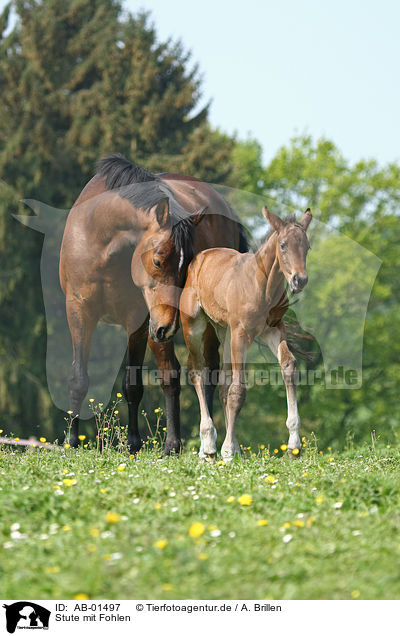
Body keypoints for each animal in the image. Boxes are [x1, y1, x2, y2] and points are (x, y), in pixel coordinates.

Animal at [180, 206, 312, 460]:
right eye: (283, 245)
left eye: (307, 246)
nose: (299, 280)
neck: (262, 285)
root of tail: (199, 258)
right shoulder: (241, 333)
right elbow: (238, 390)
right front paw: (228, 450)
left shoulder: (273, 329)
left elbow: (289, 366)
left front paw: (294, 444)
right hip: (194, 326)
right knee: (197, 371)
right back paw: (208, 445)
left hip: (223, 331)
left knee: (222, 383)